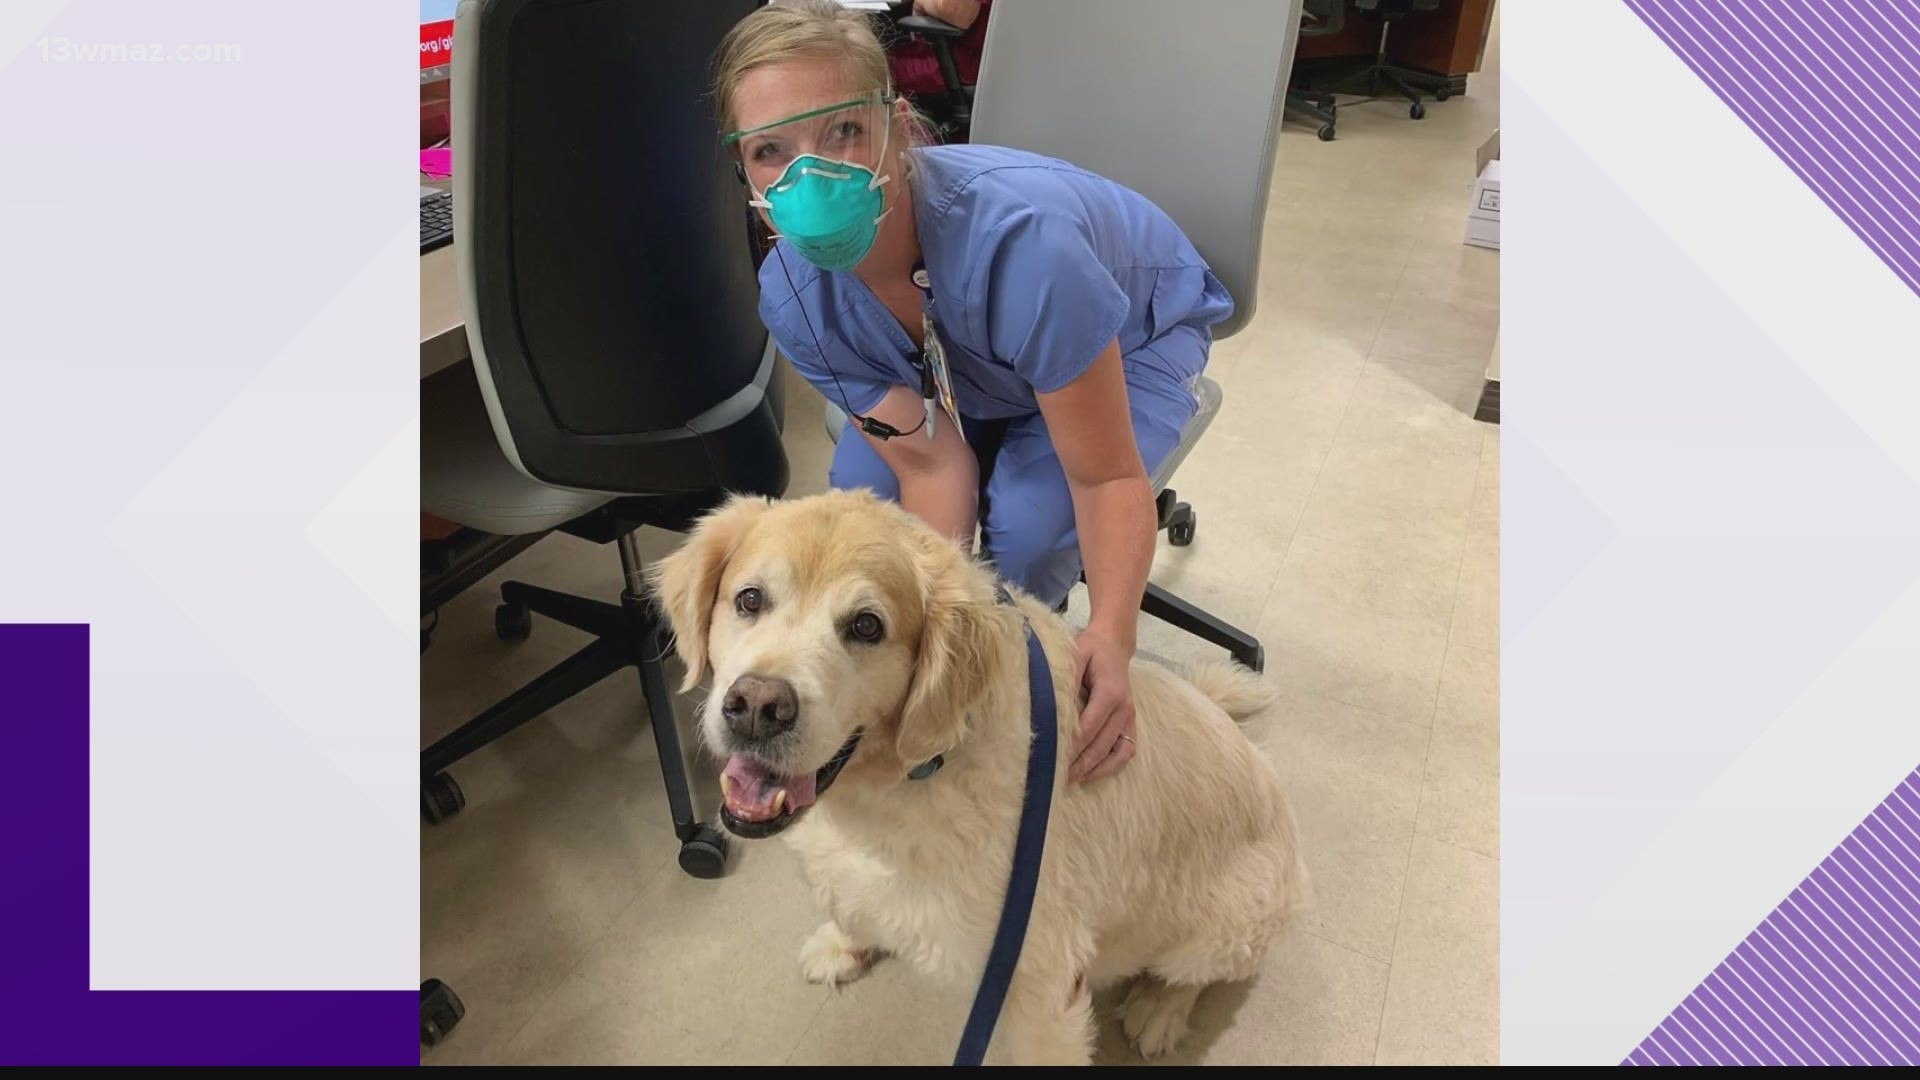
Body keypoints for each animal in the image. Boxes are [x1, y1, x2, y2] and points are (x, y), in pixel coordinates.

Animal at [648, 491, 1305, 1060]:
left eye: (866, 626)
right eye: (749, 600)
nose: (757, 707)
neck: (906, 776)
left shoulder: (1040, 983)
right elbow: (852, 903)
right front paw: (843, 945)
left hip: (1228, 924)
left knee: (1193, 976)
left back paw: (1158, 1013)